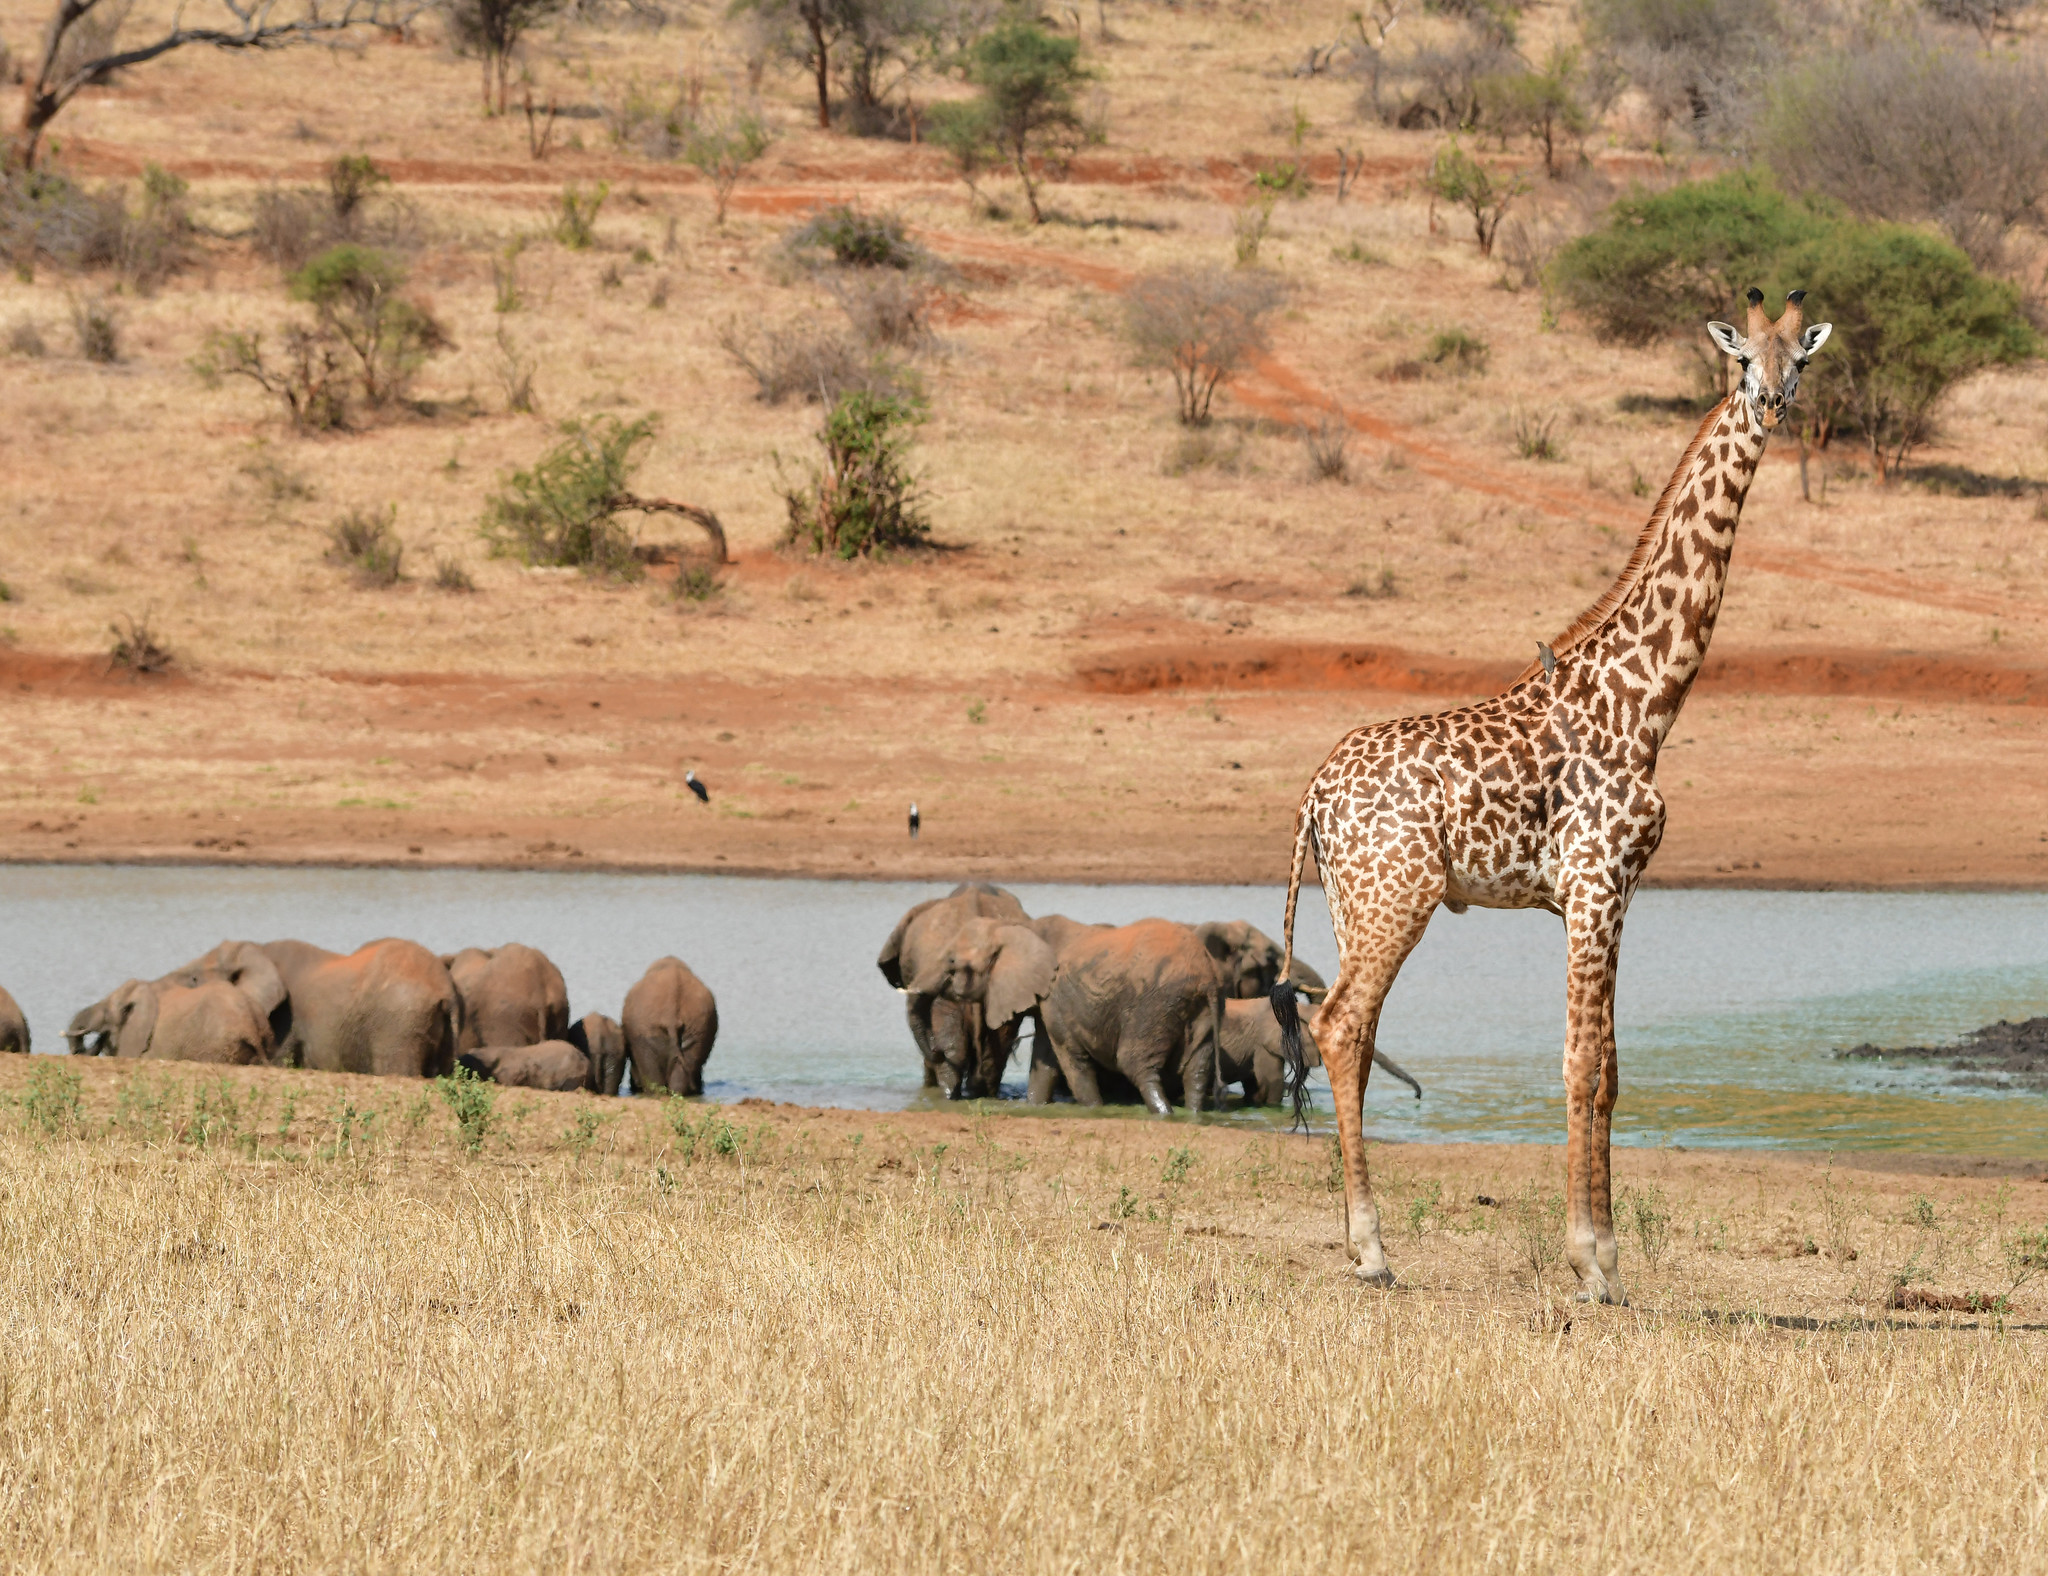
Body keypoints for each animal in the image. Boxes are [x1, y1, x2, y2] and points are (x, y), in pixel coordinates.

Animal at [1274, 290, 1832, 1304]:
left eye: (1799, 360)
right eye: (1741, 361)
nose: (1772, 404)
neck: (1644, 703)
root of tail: (1313, 799)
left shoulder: (1616, 894)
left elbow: (1609, 1068)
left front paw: (1606, 1257)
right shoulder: (1593, 885)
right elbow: (1580, 1066)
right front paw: (1590, 1264)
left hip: (1349, 901)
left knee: (1350, 1031)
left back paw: (1362, 1242)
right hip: (1397, 899)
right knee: (1339, 1025)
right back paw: (1371, 1251)